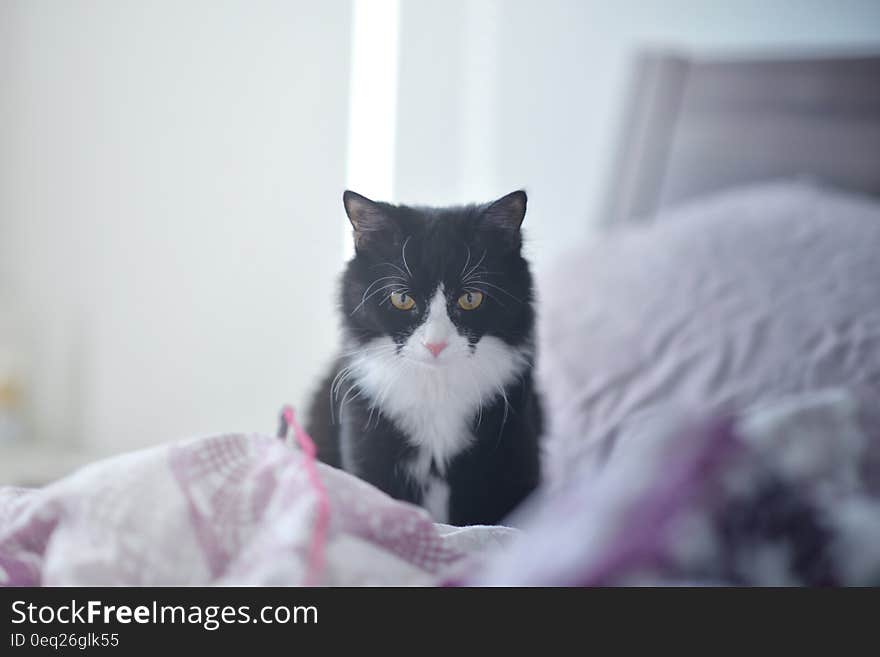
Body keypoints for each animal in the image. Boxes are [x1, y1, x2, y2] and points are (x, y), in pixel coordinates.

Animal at [310, 188, 544, 524]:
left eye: (470, 298)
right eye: (402, 298)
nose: (435, 344)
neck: (436, 386)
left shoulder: (511, 449)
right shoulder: (366, 438)